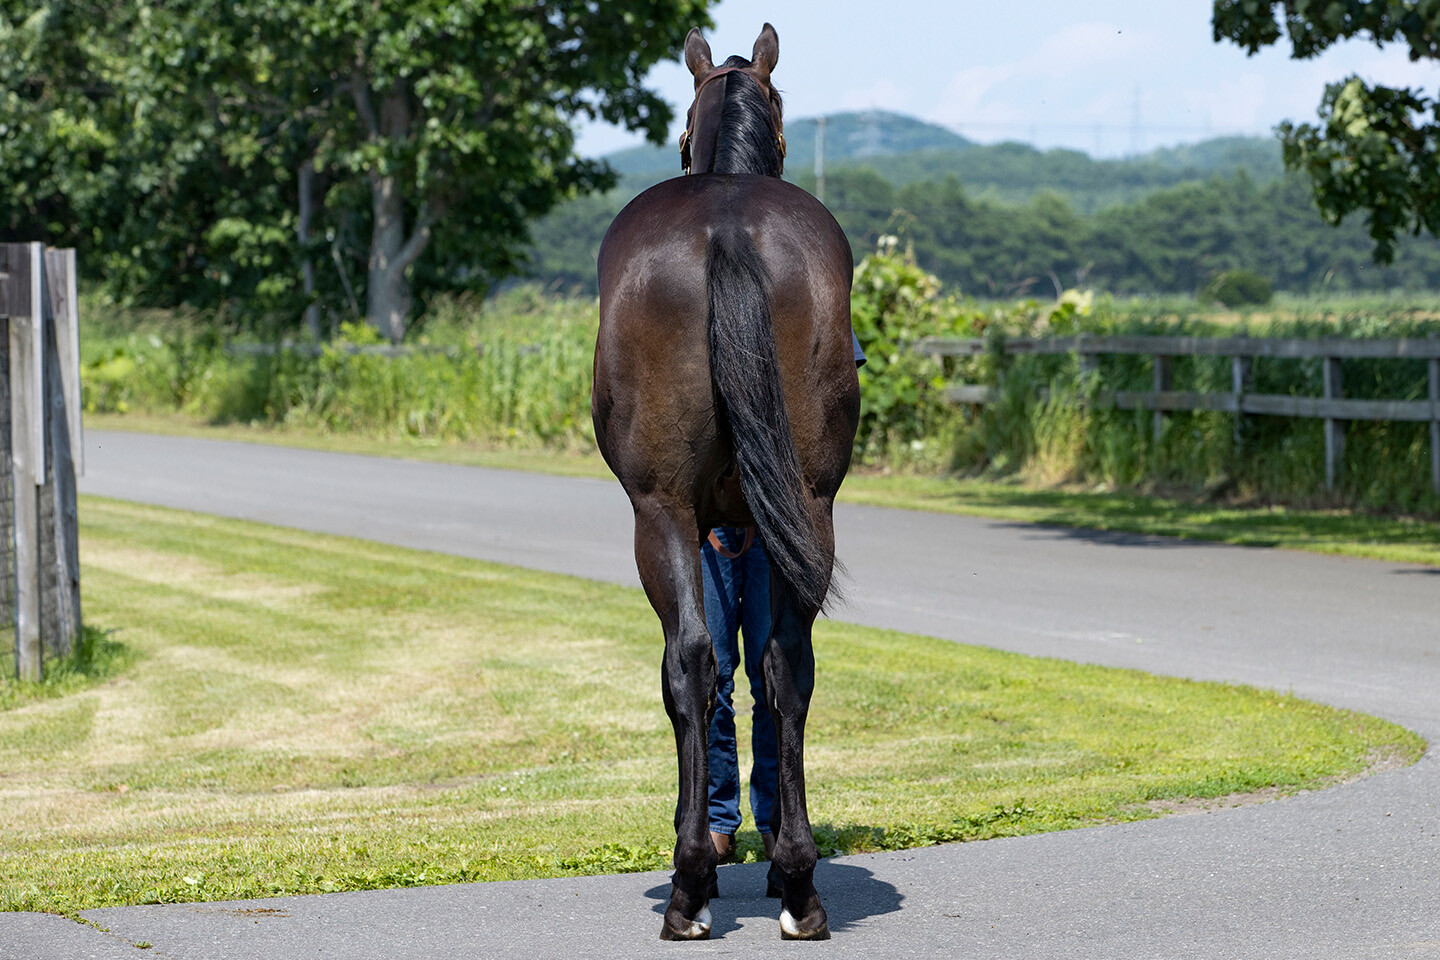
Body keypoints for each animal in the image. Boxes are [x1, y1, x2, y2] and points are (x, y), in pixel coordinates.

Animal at [593, 24, 858, 944]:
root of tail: (729, 231)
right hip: (807, 509)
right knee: (785, 666)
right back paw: (799, 885)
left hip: (660, 512)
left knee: (692, 662)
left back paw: (690, 886)